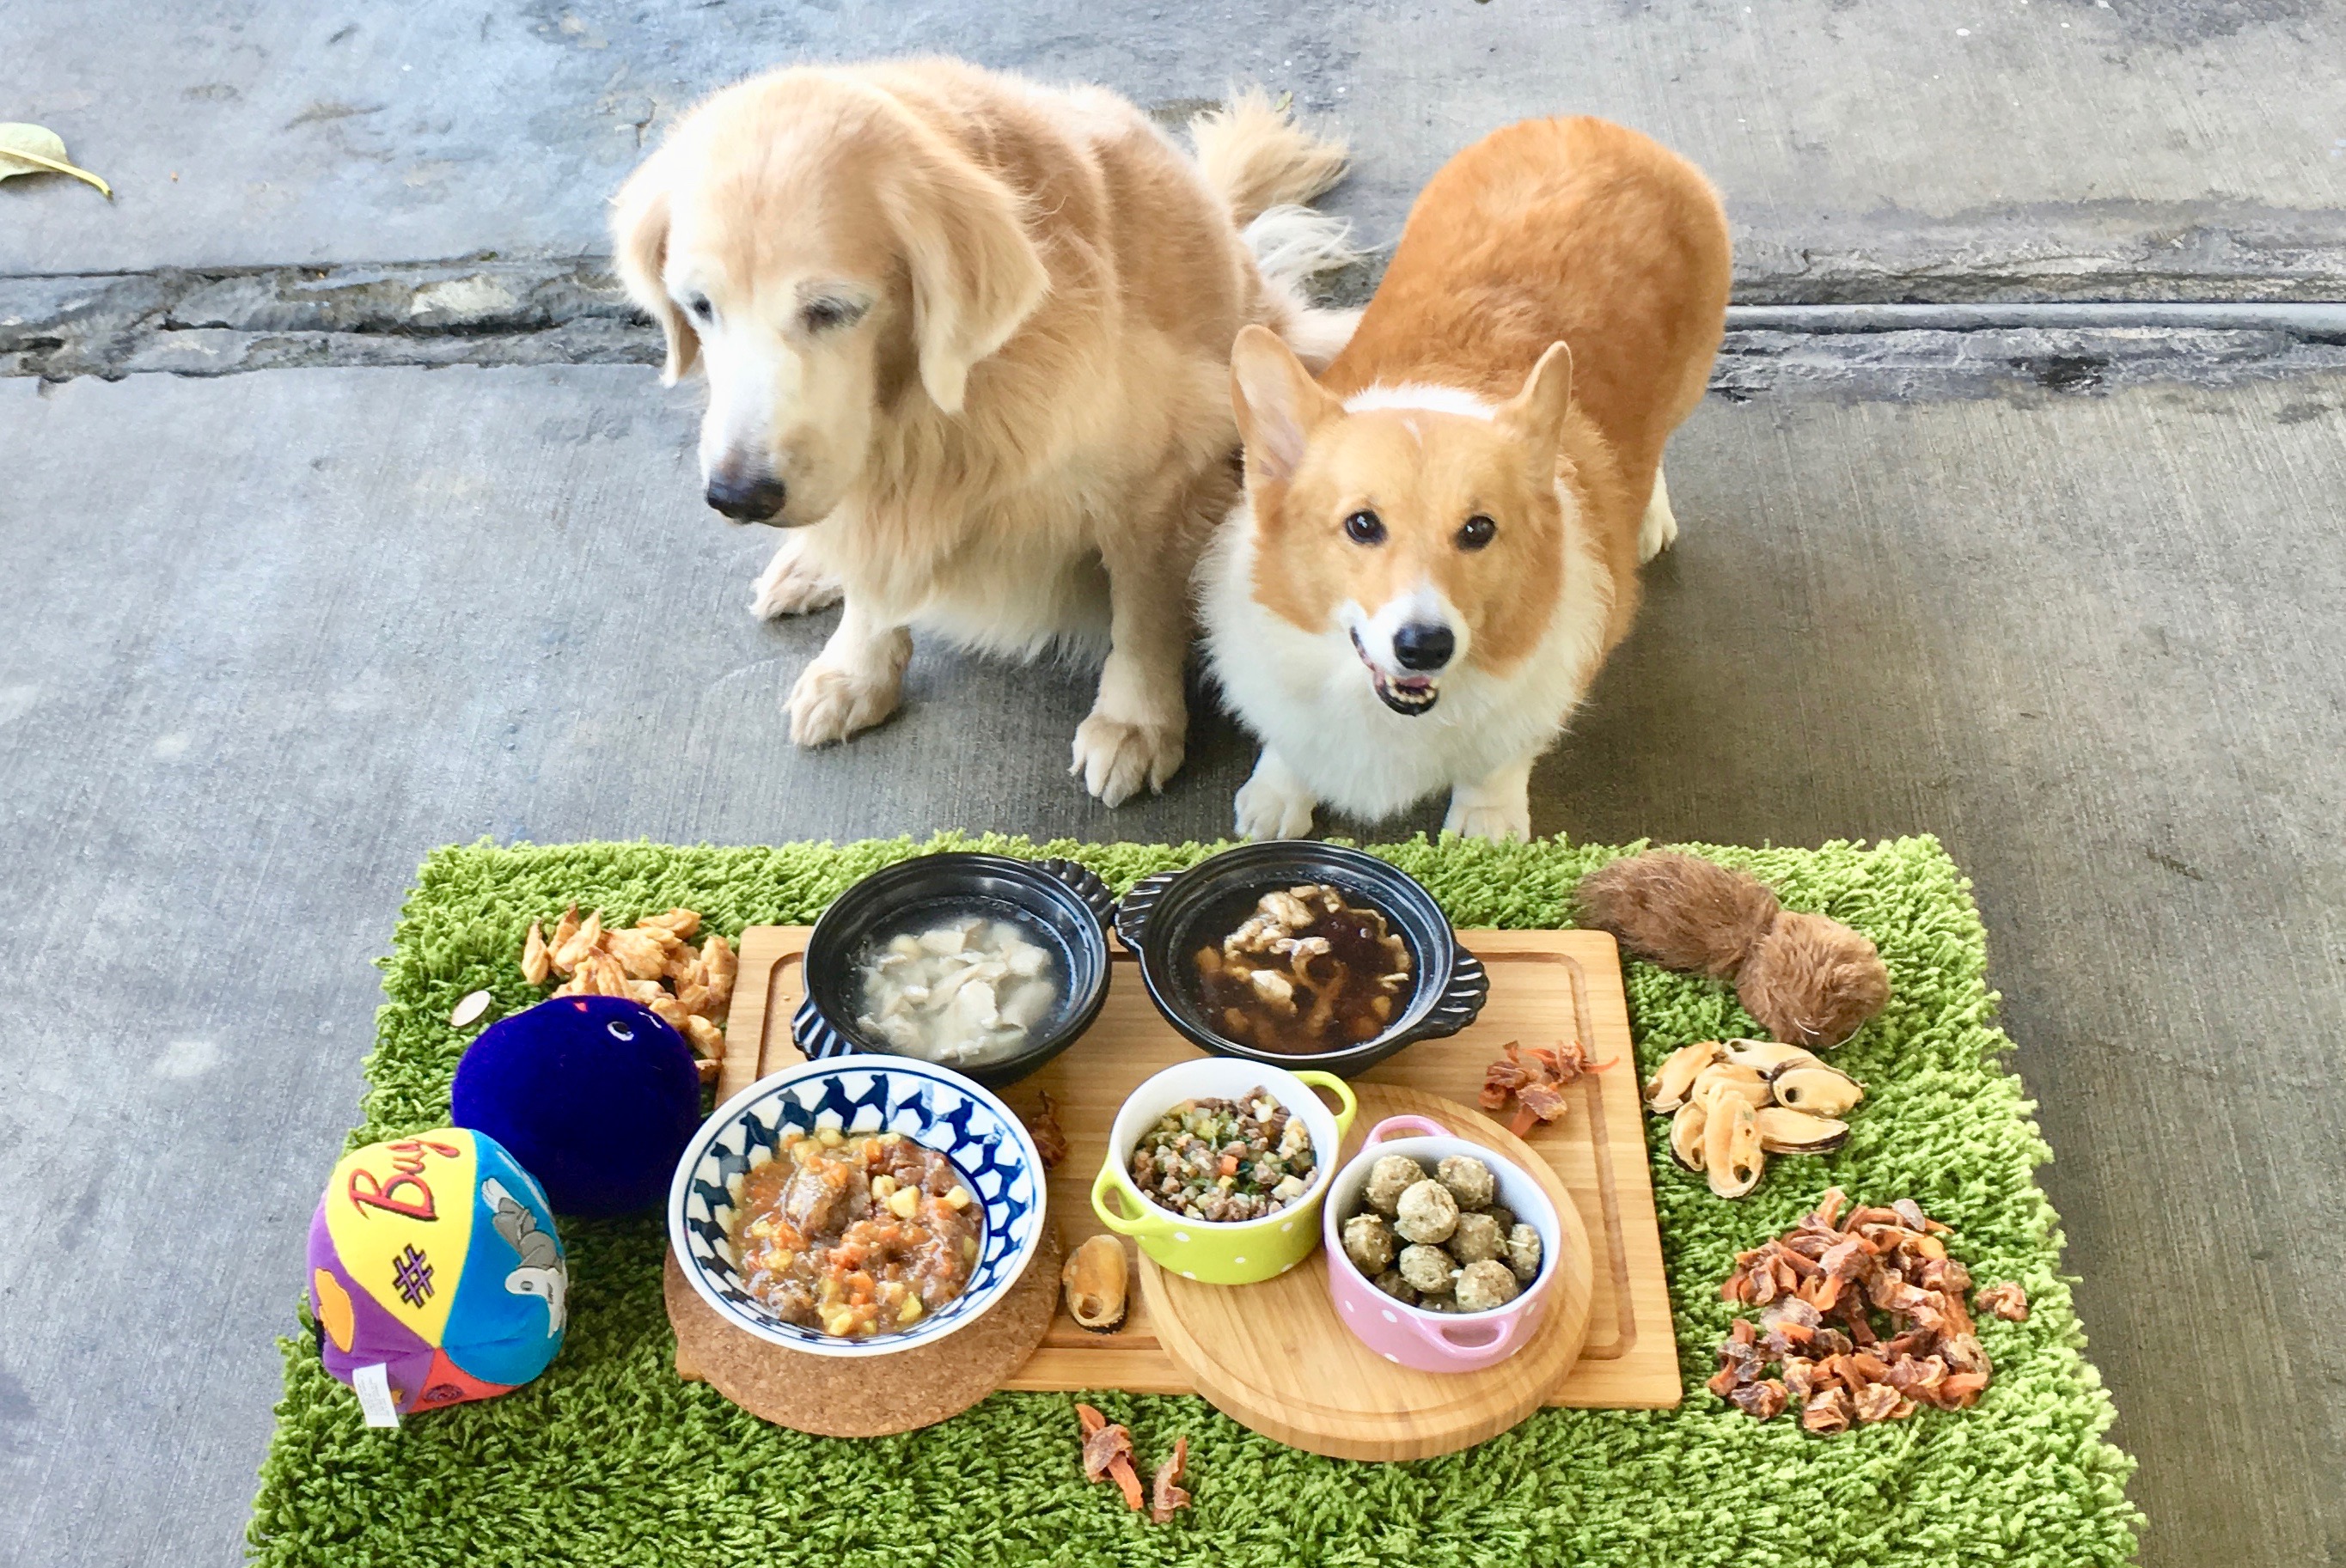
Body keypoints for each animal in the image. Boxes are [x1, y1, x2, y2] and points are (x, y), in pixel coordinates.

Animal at [611, 61, 1354, 803]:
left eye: (831, 309)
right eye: (698, 306)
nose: (737, 497)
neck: (935, 408)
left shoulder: (1159, 476)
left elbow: (1142, 613)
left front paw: (1134, 723)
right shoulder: (880, 488)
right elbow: (873, 567)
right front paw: (856, 669)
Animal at [1198, 116, 1730, 840]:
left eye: (1479, 529)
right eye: (1362, 524)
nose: (1425, 646)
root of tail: (1596, 126)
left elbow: (1499, 757)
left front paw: (1486, 823)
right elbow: (1290, 742)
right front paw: (1278, 794)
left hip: (1690, 378)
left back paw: (1648, 517)